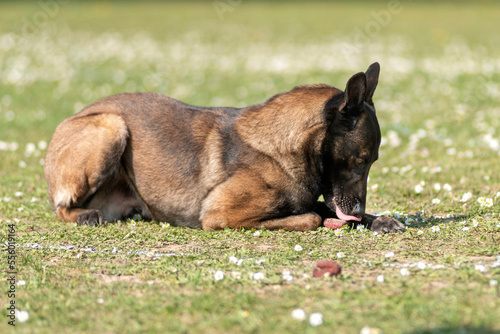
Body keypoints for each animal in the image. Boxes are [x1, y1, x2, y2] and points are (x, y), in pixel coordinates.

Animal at [45, 63, 406, 235]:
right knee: (63, 207)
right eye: (360, 160)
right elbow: (311, 218)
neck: (283, 150)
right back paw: (84, 215)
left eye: (373, 161)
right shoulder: (221, 214)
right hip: (111, 126)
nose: (357, 210)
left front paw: (378, 220)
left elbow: (321, 209)